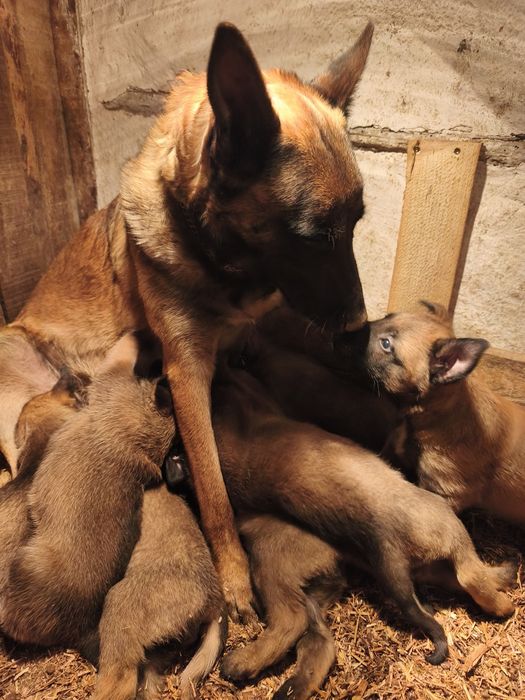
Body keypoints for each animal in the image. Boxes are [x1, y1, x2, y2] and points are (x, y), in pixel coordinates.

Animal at [1, 21, 374, 617]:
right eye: (315, 236)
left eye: (357, 222)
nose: (359, 325)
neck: (220, 261)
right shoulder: (187, 371)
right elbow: (213, 487)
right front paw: (235, 579)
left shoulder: (265, 325)